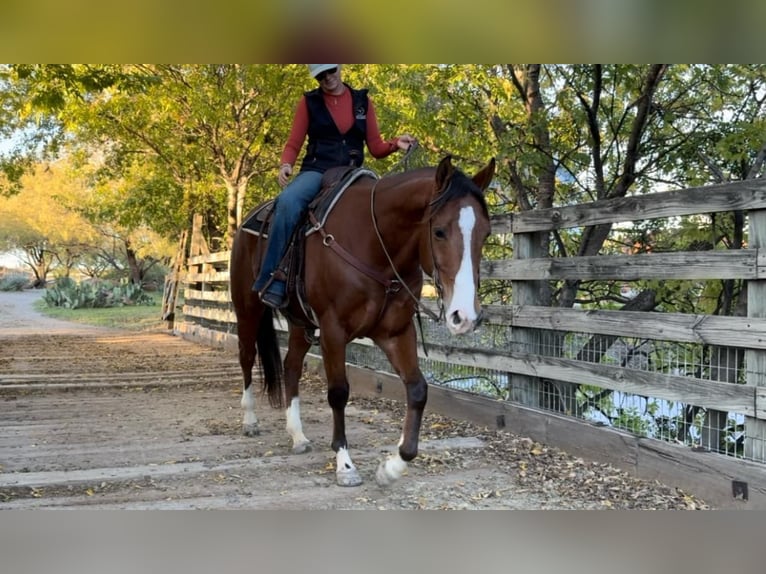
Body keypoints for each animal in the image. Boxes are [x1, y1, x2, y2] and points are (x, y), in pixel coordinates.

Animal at [229, 155, 495, 487]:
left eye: (485, 233)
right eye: (440, 232)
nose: (466, 316)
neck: (375, 244)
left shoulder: (396, 332)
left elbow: (418, 390)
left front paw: (392, 466)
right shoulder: (333, 330)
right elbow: (339, 392)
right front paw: (345, 464)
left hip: (301, 324)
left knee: (291, 366)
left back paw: (298, 435)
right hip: (248, 309)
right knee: (246, 357)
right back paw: (250, 420)